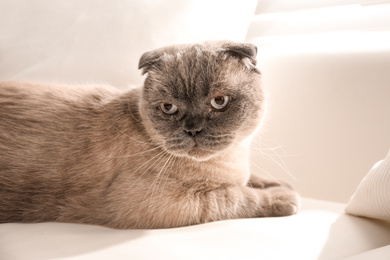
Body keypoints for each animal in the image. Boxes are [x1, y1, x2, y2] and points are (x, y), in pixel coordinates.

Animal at [0, 40, 300, 228]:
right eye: (169, 108)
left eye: (219, 102)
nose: (192, 129)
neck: (231, 161)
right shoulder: (160, 203)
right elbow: (235, 196)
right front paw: (283, 198)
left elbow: (253, 181)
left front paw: (280, 184)